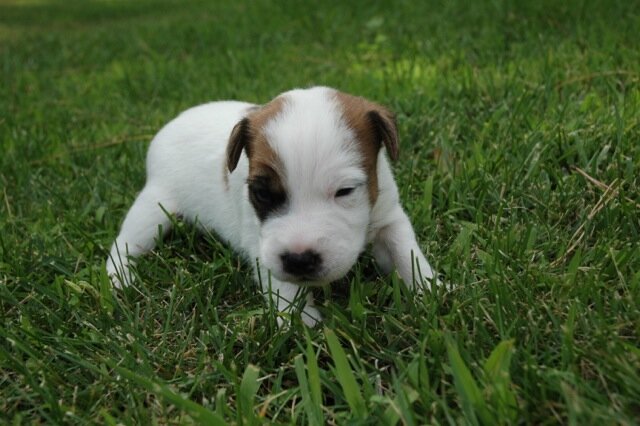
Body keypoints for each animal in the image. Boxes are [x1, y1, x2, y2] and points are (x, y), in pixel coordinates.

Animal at [106, 86, 438, 326]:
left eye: (345, 191)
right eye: (262, 194)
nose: (299, 260)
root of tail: (168, 127)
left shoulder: (388, 217)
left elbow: (405, 252)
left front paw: (430, 290)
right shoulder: (260, 242)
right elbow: (284, 287)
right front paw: (302, 326)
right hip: (154, 206)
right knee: (124, 242)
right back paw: (119, 278)